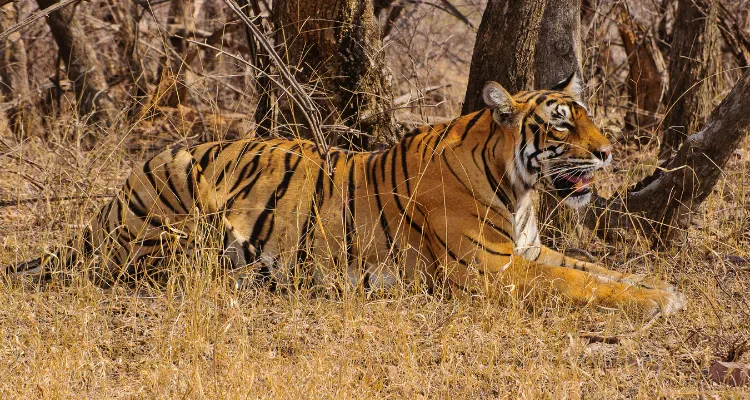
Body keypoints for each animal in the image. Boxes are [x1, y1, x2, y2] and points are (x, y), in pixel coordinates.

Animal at [7, 74, 685, 316]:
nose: (608, 152)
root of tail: (114, 199)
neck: (518, 187)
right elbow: (581, 283)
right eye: (563, 123)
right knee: (158, 270)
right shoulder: (491, 270)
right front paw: (657, 303)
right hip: (175, 201)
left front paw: (657, 288)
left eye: (588, 117)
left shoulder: (529, 251)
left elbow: (595, 269)